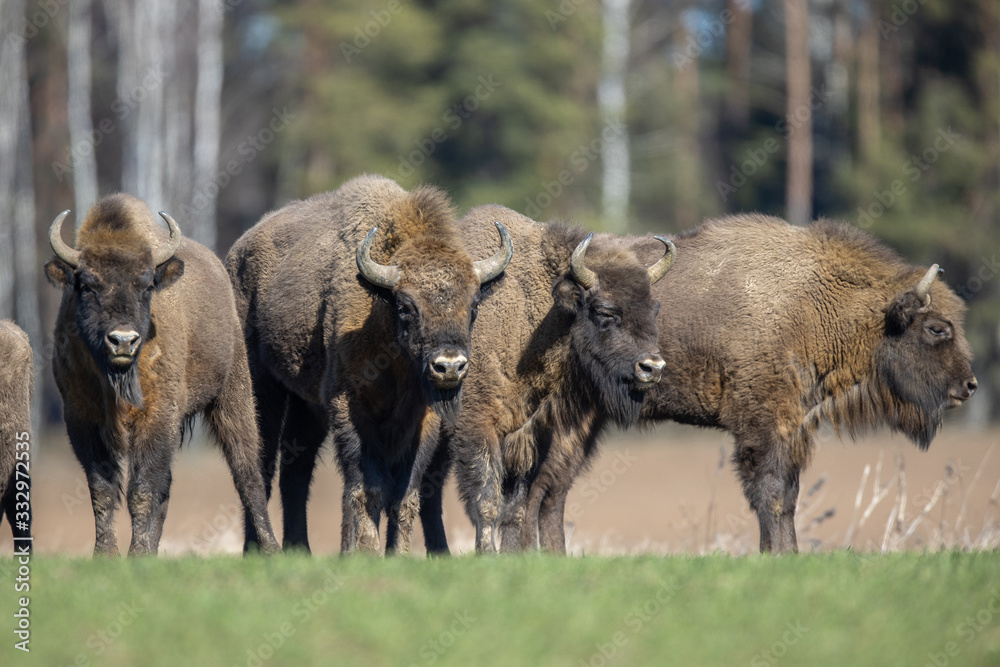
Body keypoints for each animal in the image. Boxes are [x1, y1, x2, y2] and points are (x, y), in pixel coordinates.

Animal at [44, 193, 280, 556]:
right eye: (86, 285)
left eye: (145, 285)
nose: (123, 340)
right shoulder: (81, 418)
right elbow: (103, 490)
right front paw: (107, 554)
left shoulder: (157, 417)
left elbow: (141, 491)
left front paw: (136, 552)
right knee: (168, 488)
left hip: (233, 396)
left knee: (248, 473)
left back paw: (270, 548)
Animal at [226, 174, 512, 554]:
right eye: (406, 306)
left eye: (474, 304)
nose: (449, 366)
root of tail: (237, 252)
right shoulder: (349, 407)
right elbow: (368, 487)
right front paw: (365, 550)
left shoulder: (422, 419)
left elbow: (404, 495)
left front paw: (396, 553)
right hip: (262, 387)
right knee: (262, 463)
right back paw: (256, 550)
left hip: (307, 405)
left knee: (296, 469)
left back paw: (300, 548)